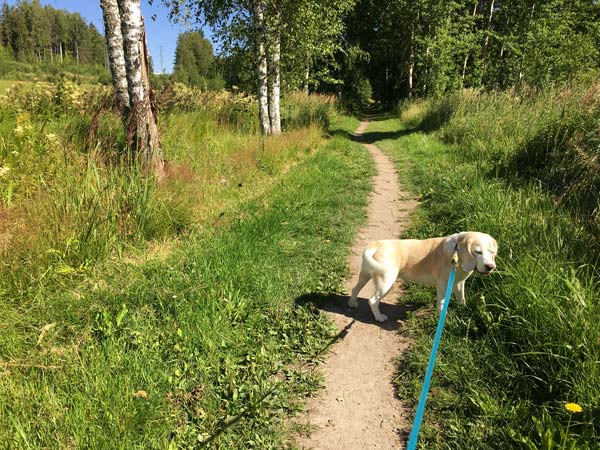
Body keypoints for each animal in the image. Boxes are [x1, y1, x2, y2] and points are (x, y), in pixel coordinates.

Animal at [346, 230, 496, 322]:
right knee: (372, 300)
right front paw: (441, 316)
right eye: (477, 252)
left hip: (365, 275)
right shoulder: (442, 285)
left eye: (491, 252)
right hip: (386, 283)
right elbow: (441, 303)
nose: (490, 266)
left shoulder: (459, 284)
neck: (456, 252)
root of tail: (376, 244)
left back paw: (352, 304)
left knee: (355, 289)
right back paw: (379, 317)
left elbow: (462, 299)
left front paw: (463, 309)